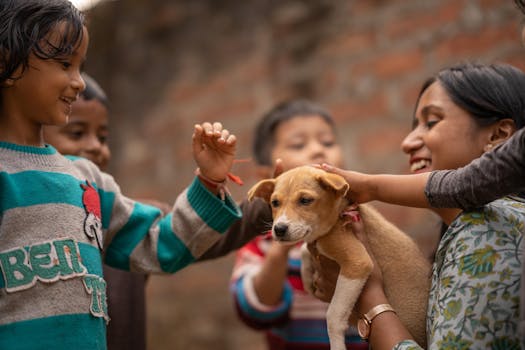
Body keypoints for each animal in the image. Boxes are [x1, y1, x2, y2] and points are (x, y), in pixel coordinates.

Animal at [249, 165, 430, 348]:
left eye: (305, 200)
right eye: (274, 203)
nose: (279, 229)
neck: (338, 213)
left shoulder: (357, 263)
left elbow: (333, 315)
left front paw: (337, 345)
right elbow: (305, 250)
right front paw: (307, 278)